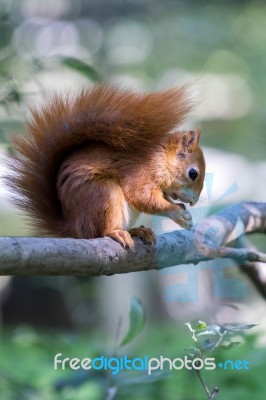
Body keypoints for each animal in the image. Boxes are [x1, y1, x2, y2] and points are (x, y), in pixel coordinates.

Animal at [6, 83, 206, 247]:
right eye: (193, 173)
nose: (194, 202)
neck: (160, 158)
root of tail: (74, 229)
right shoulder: (139, 172)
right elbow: (143, 197)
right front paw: (178, 213)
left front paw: (178, 207)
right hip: (103, 194)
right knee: (100, 232)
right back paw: (117, 232)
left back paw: (137, 231)